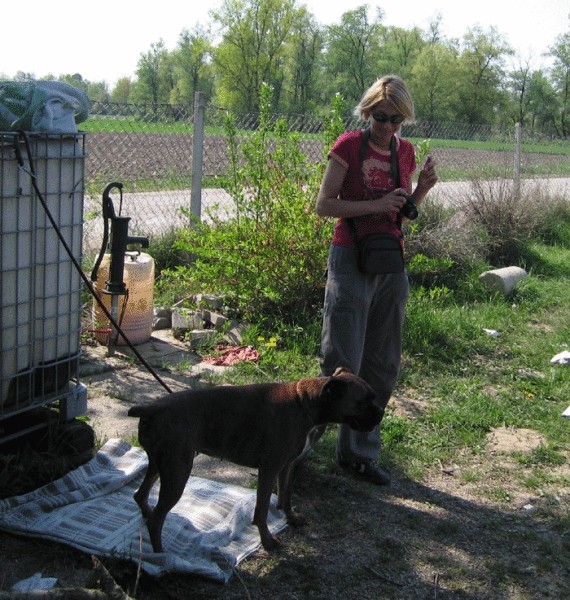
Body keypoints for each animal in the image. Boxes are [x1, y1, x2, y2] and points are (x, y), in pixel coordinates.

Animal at [126, 366, 380, 552]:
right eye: (364, 402)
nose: (380, 413)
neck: (305, 402)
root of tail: (152, 408)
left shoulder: (286, 467)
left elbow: (286, 495)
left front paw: (290, 517)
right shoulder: (269, 470)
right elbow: (262, 509)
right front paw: (266, 540)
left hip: (160, 466)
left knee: (141, 495)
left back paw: (147, 514)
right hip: (177, 473)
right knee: (156, 520)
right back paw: (161, 557)